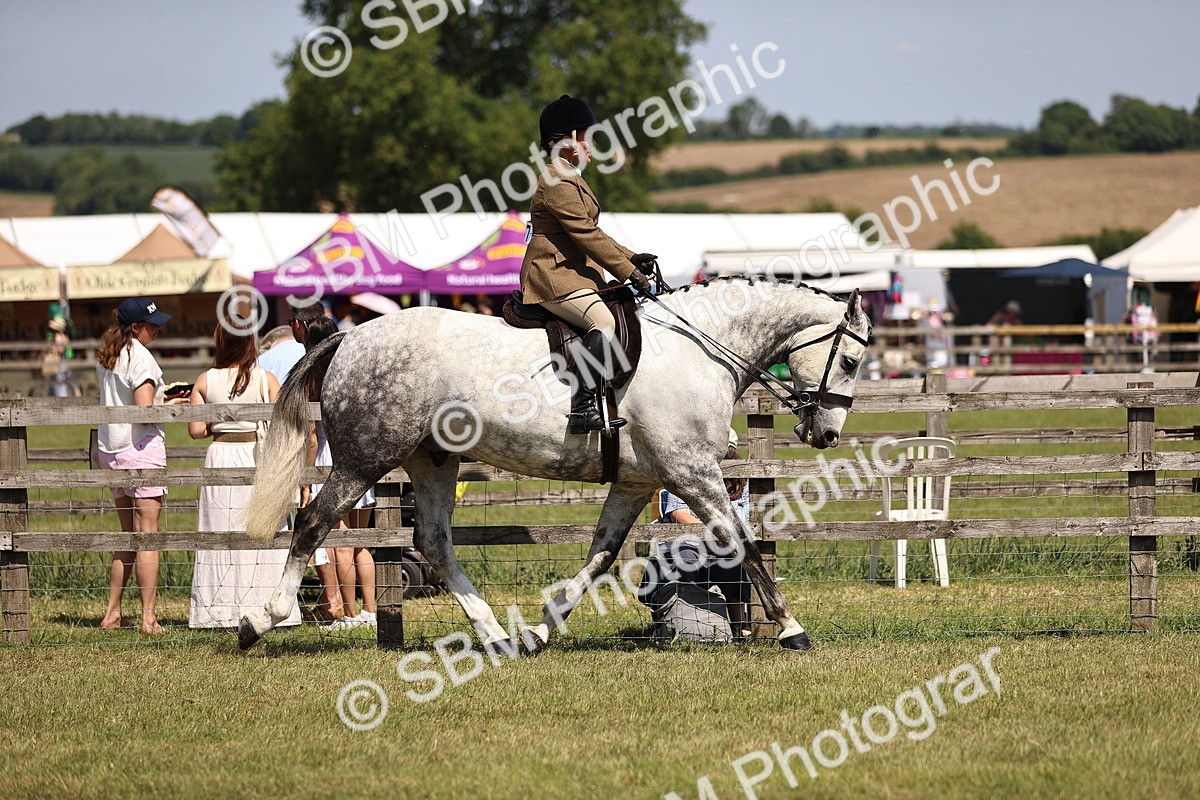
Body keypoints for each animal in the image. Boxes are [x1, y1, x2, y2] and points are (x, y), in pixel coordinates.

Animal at [239, 277, 871, 652]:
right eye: (853, 359)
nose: (827, 433)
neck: (701, 348)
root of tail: (349, 339)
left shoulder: (637, 481)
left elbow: (601, 556)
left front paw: (541, 630)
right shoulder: (691, 472)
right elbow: (743, 542)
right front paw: (792, 628)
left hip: (433, 460)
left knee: (434, 541)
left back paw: (496, 634)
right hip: (365, 457)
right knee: (312, 525)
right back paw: (259, 621)